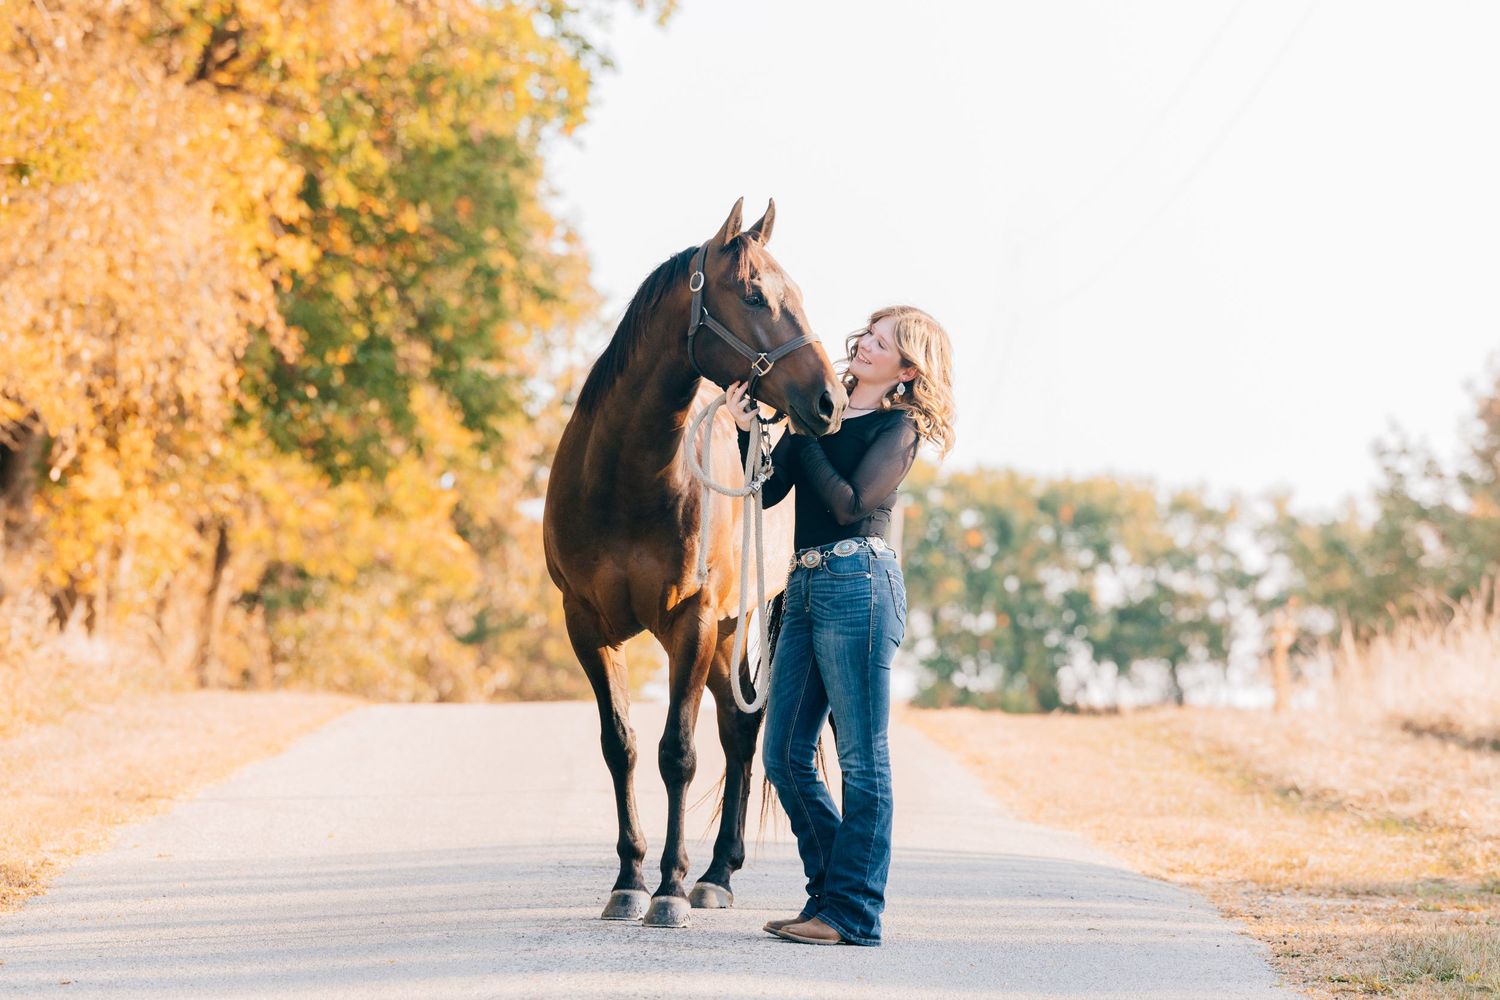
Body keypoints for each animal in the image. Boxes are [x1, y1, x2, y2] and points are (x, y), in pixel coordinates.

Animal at [543, 198, 847, 927]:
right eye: (755, 294)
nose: (829, 401)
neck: (625, 478)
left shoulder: (695, 618)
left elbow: (677, 753)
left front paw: (669, 889)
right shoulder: (584, 624)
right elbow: (620, 746)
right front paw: (628, 880)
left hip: (733, 628)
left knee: (740, 733)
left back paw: (713, 875)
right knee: (734, 729)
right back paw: (715, 871)